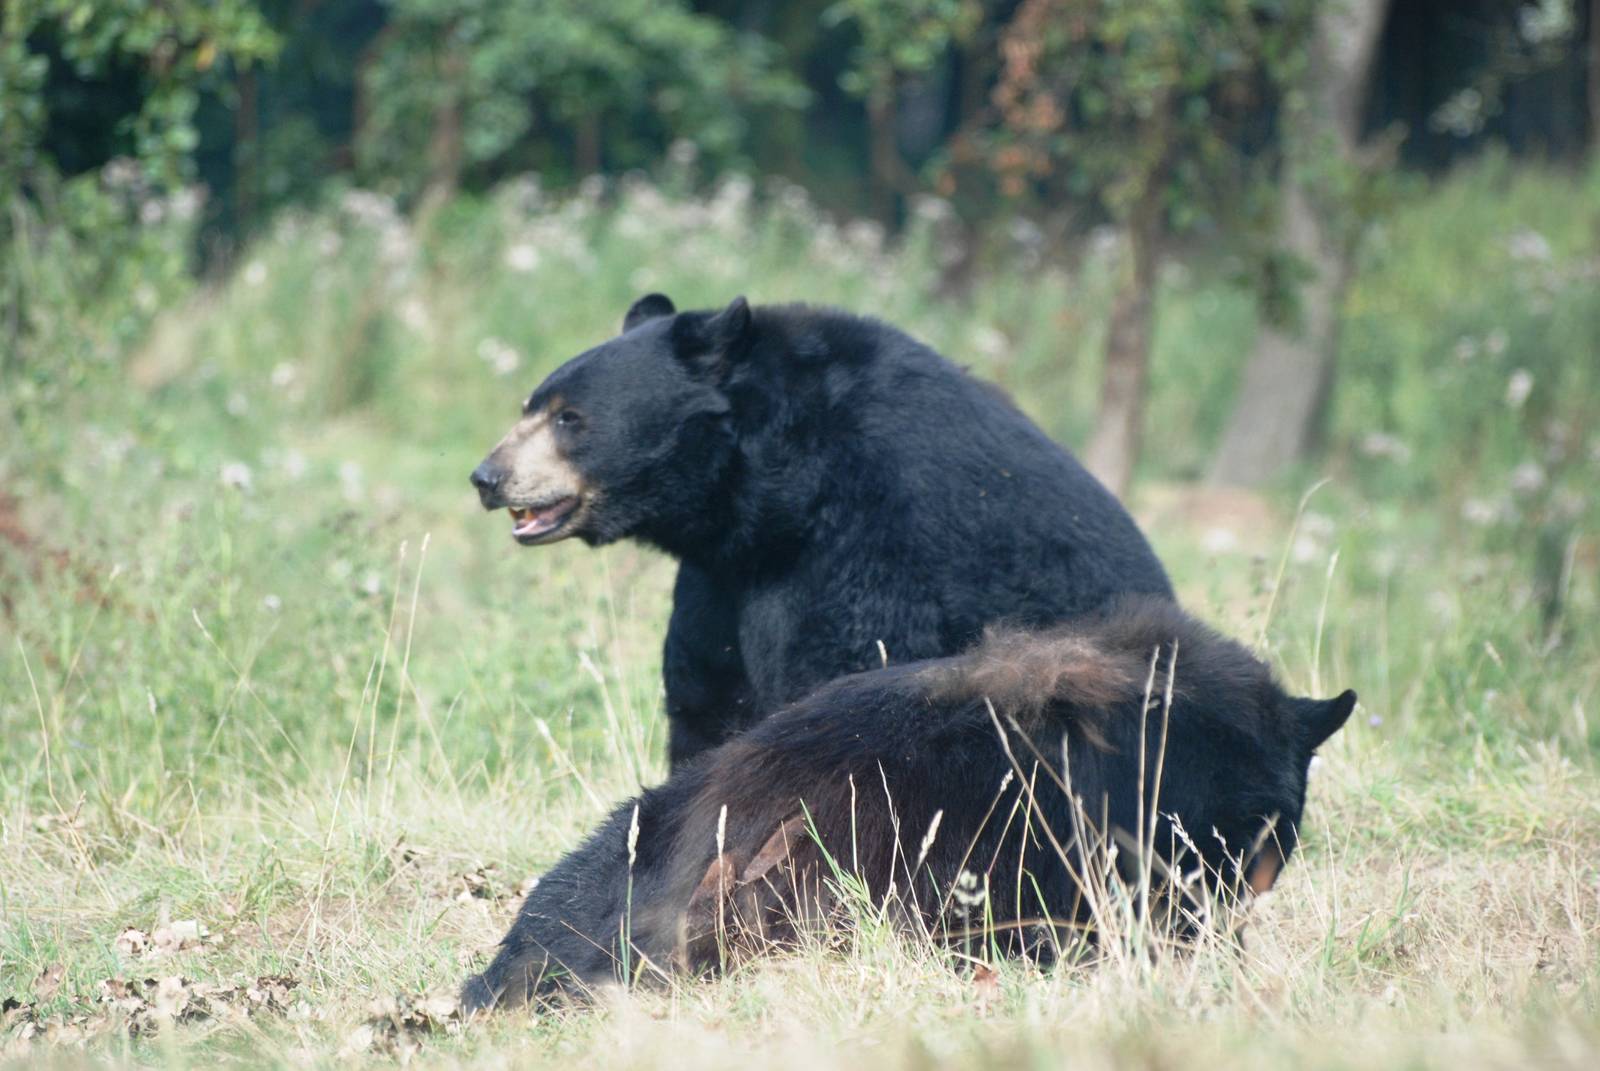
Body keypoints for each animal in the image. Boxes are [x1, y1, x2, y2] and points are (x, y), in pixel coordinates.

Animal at [471, 295, 1174, 768]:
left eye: (569, 418)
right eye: (531, 405)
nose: (487, 476)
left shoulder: (878, 543)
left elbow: (848, 672)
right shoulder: (722, 576)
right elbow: (708, 691)